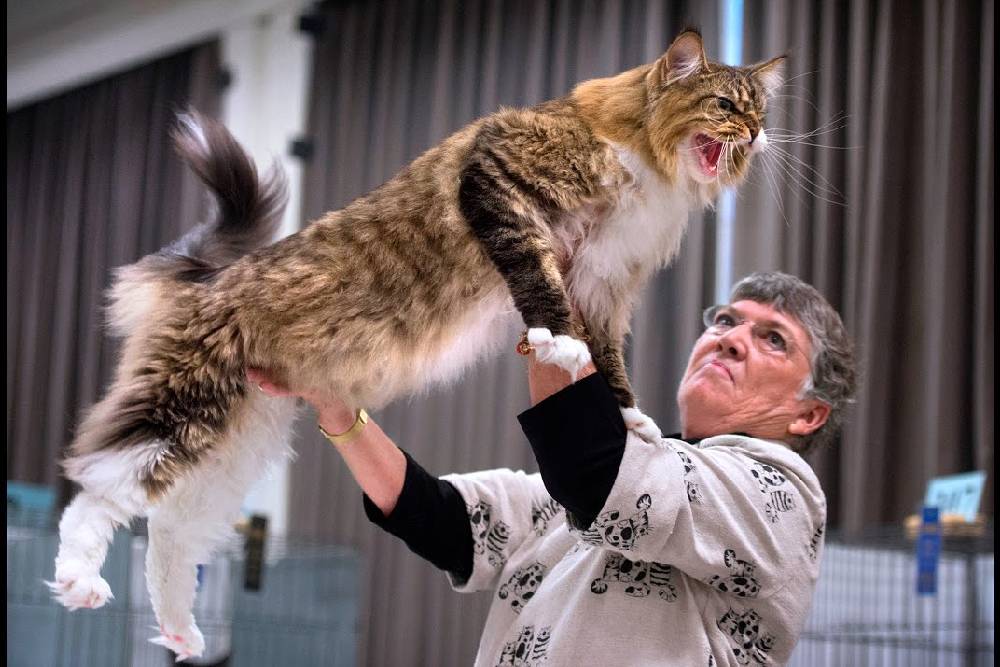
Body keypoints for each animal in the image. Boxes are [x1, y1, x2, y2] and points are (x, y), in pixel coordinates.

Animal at [48, 30, 780, 656]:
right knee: (96, 488)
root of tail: (213, 276)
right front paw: (557, 344)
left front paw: (629, 420)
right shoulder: (501, 180)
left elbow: (610, 365)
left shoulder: (602, 284)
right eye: (723, 105)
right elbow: (541, 290)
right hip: (186, 403)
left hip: (234, 442)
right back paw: (81, 580)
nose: (755, 134)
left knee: (169, 533)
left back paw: (181, 633)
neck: (647, 164)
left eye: (759, 111)